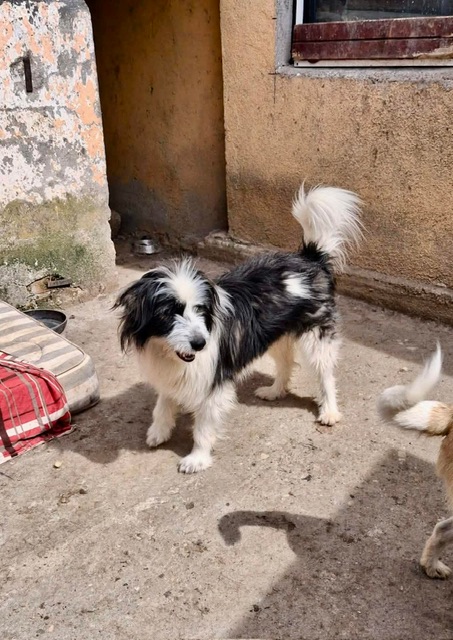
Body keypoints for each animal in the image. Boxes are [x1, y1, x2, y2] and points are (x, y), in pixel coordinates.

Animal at [115, 183, 363, 473]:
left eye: (200, 309)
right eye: (167, 313)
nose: (200, 344)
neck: (168, 353)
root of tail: (310, 258)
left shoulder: (214, 384)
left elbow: (203, 427)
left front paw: (197, 458)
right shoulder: (170, 375)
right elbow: (163, 403)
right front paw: (159, 430)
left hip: (316, 337)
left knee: (325, 374)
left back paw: (329, 411)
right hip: (275, 336)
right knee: (286, 363)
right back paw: (275, 391)